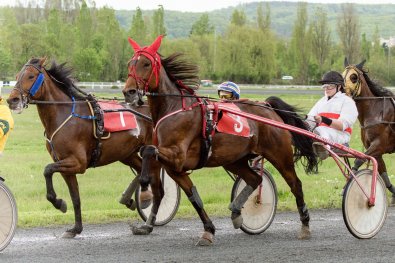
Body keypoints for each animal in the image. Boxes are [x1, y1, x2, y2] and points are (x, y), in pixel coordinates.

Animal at [5, 58, 158, 239]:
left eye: (30, 76)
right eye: (16, 76)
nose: (12, 100)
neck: (63, 116)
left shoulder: (78, 163)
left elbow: (47, 169)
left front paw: (59, 202)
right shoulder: (65, 166)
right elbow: (75, 198)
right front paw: (75, 227)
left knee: (155, 180)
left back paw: (147, 217)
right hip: (127, 154)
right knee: (144, 172)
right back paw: (133, 201)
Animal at [124, 36, 318, 246]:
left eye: (146, 63)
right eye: (130, 63)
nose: (129, 92)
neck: (173, 108)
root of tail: (268, 107)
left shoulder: (177, 156)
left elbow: (148, 151)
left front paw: (144, 193)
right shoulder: (175, 168)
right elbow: (192, 196)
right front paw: (208, 231)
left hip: (279, 154)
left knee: (295, 184)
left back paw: (305, 225)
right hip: (234, 159)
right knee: (255, 178)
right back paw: (236, 212)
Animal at [344, 59, 395, 204]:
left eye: (354, 77)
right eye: (342, 74)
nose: (342, 91)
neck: (375, 112)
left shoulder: (379, 145)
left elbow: (358, 161)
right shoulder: (377, 151)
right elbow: (383, 173)